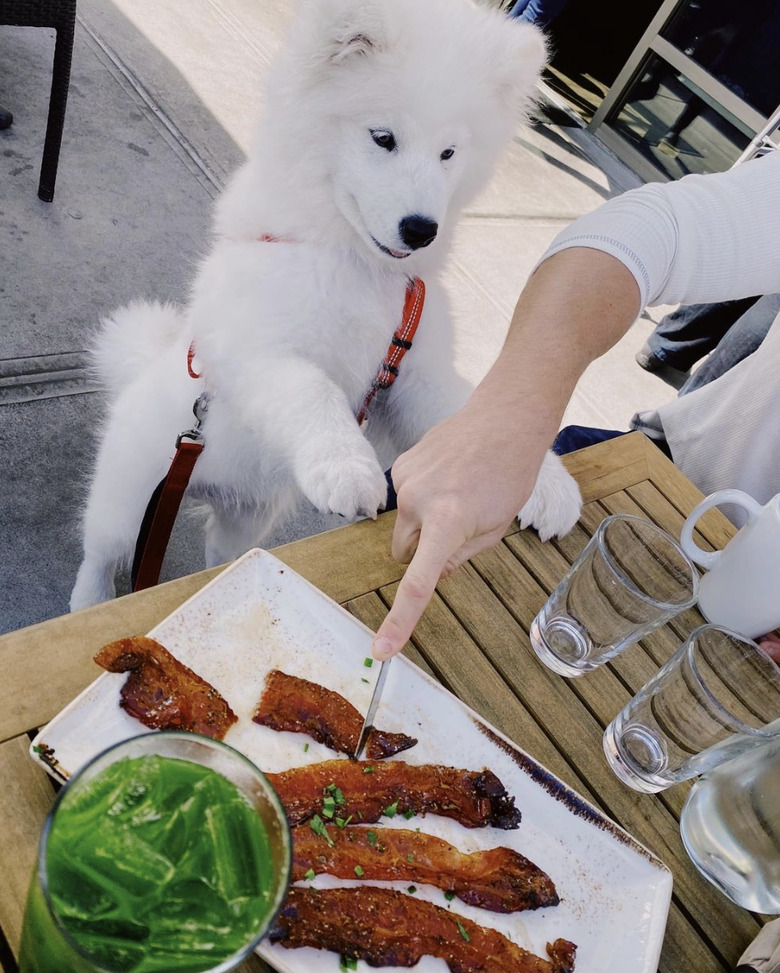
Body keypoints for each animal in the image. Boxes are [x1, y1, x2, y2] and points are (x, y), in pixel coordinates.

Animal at [70, 0, 580, 612]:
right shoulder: (257, 350)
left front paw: (544, 485)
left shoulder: (413, 377)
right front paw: (347, 469)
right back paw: (88, 599)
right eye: (383, 137)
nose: (422, 229)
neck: (356, 265)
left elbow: (474, 414)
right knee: (101, 550)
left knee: (221, 549)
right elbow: (312, 392)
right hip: (129, 499)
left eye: (449, 153)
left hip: (245, 516)